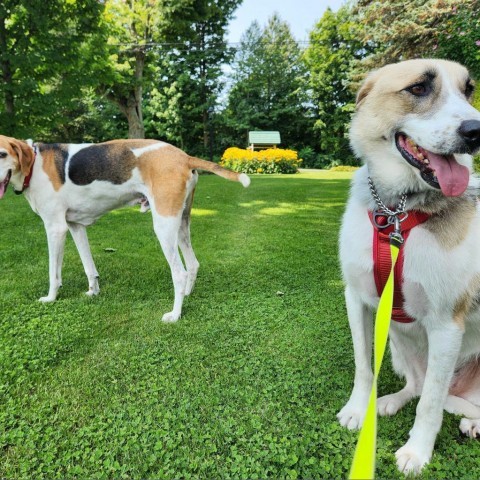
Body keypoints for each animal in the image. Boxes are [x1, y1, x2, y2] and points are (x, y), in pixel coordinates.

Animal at [0, 137, 251, 320]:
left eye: (2, 154)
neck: (34, 164)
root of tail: (184, 157)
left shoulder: (55, 228)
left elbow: (54, 273)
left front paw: (51, 298)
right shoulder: (75, 226)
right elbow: (89, 267)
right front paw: (93, 292)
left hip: (163, 226)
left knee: (179, 272)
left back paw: (175, 314)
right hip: (180, 224)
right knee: (192, 264)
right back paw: (187, 294)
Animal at [338, 58, 480, 474]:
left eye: (468, 90)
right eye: (418, 88)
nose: (476, 131)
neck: (399, 212)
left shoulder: (447, 324)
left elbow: (431, 404)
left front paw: (417, 451)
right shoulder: (357, 299)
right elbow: (363, 365)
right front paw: (359, 410)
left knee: (442, 396)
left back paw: (472, 423)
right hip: (400, 344)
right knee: (416, 386)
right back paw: (389, 402)